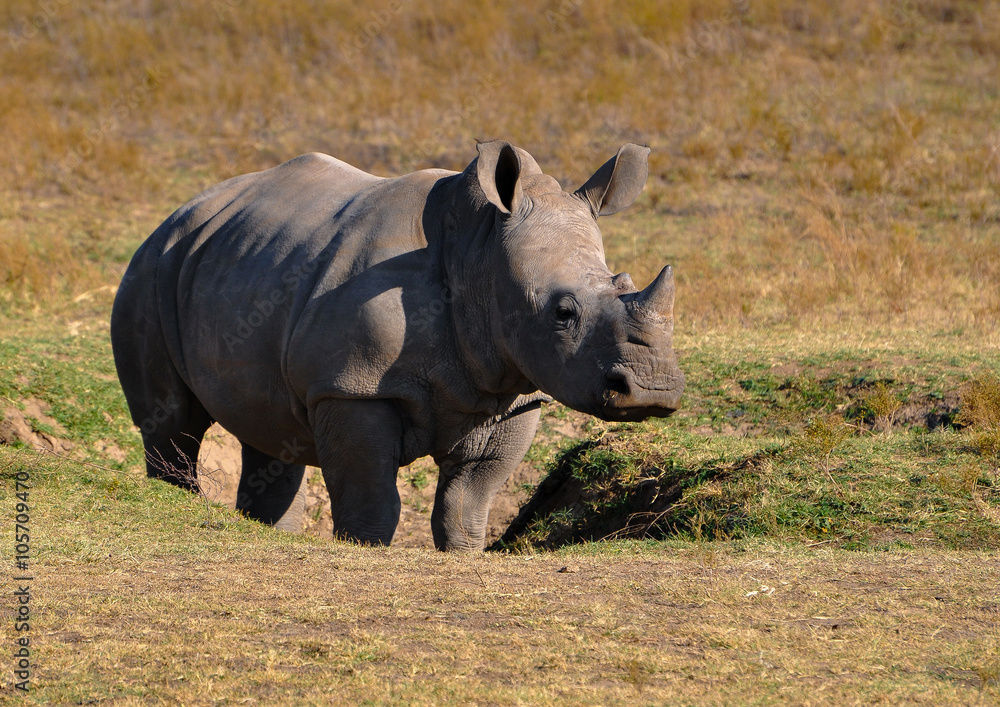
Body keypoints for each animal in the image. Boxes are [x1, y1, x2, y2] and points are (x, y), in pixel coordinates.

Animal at [111, 140, 684, 551]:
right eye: (563, 313)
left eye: (622, 281)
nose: (651, 391)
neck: (478, 254)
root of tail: (181, 212)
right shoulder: (351, 386)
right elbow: (372, 499)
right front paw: (365, 549)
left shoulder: (515, 391)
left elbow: (467, 502)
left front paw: (463, 555)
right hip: (150, 270)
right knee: (172, 424)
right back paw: (177, 499)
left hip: (235, 262)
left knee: (268, 432)